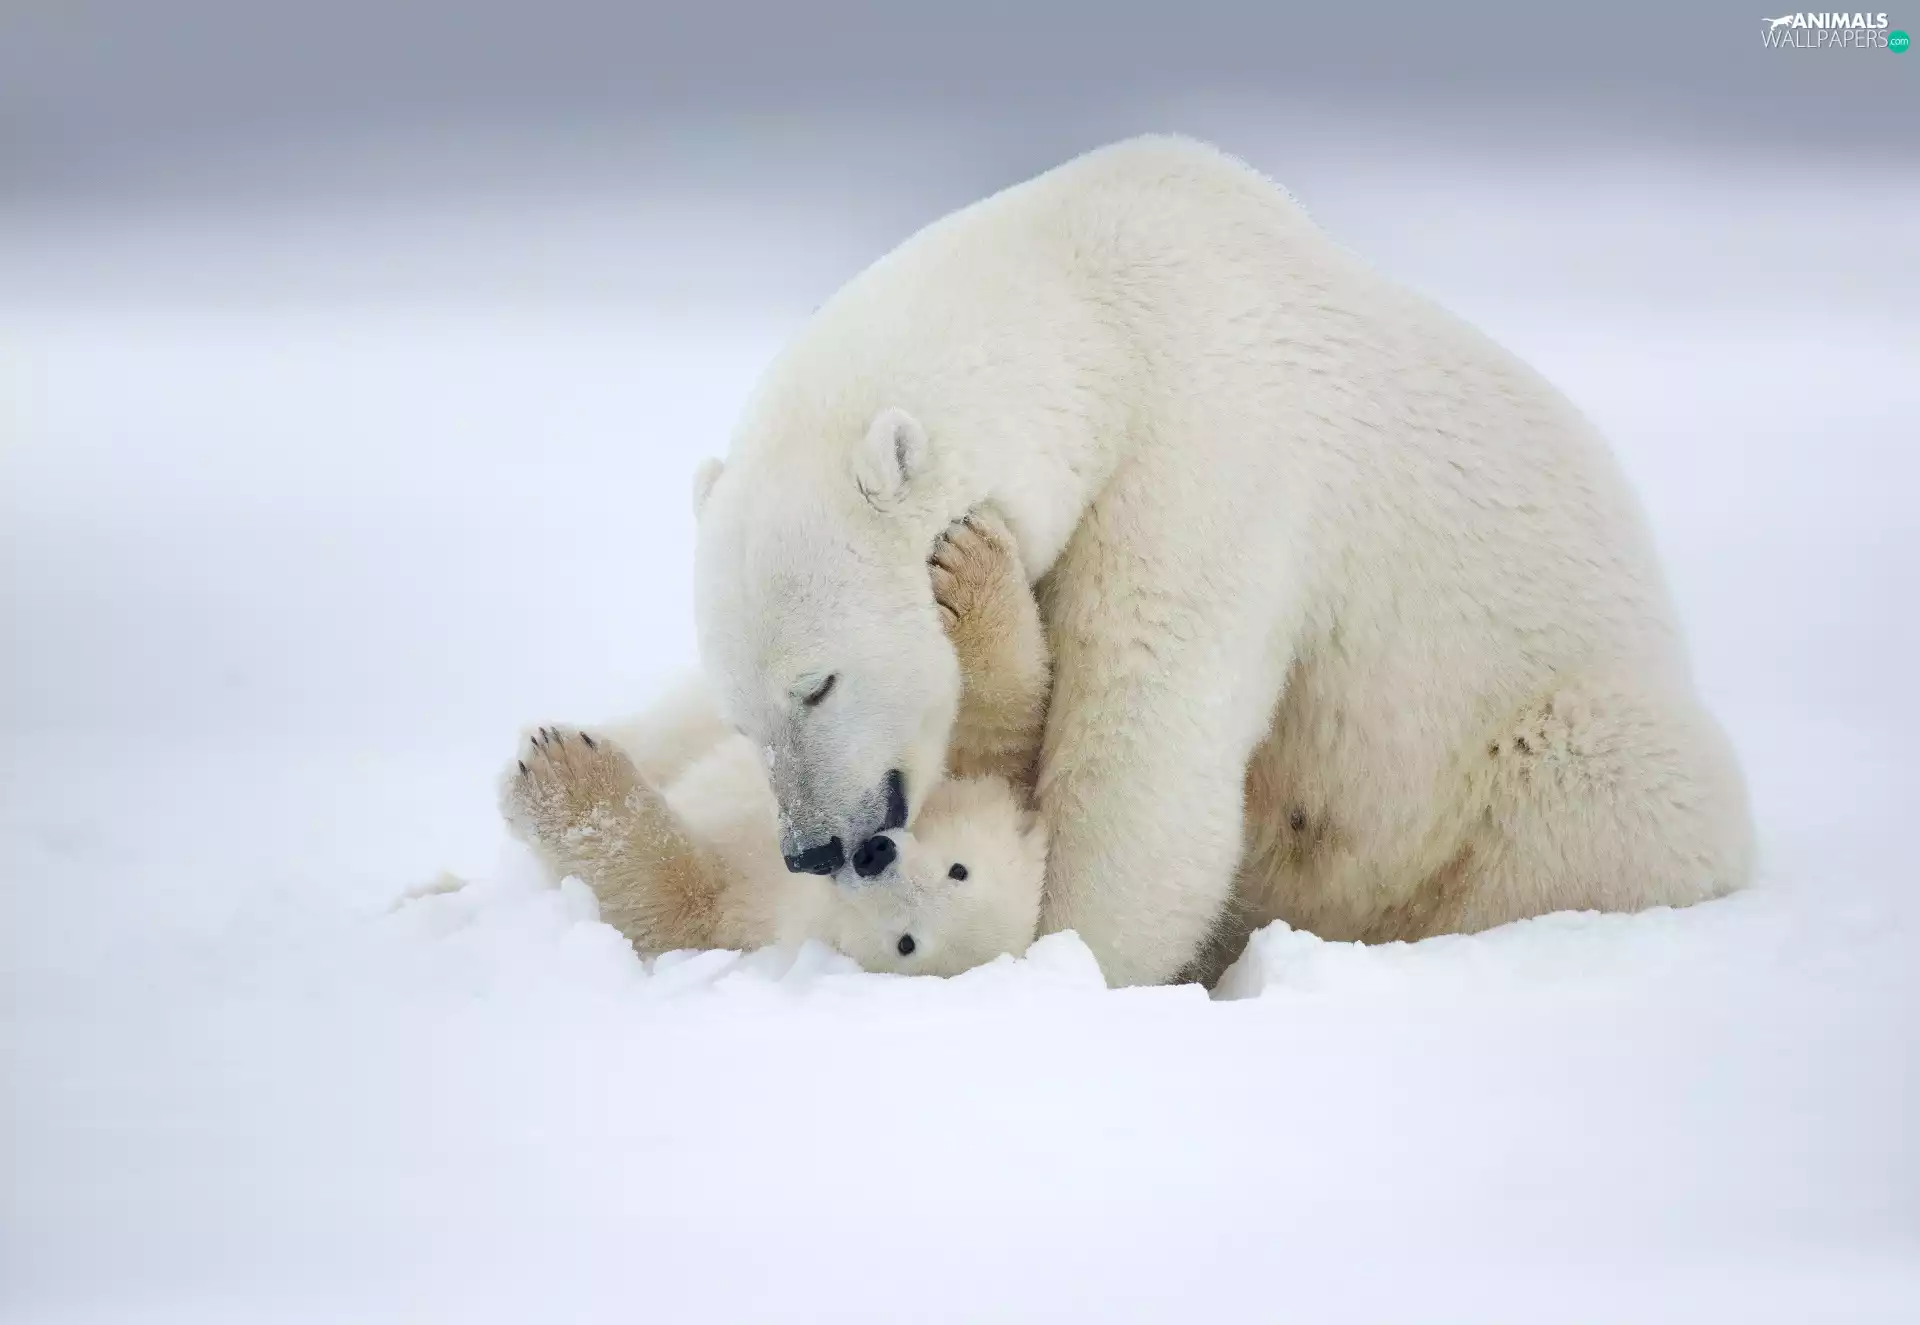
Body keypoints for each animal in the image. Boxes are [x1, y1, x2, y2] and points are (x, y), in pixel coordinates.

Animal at [501, 511, 1053, 977]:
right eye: (960, 870)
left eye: (908, 942)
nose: (873, 855)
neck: (804, 890)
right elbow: (996, 723)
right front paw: (966, 560)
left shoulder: (746, 916)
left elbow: (673, 904)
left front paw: (562, 775)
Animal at [684, 133, 1755, 988]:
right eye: (743, 714)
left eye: (817, 683)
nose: (815, 847)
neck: (1097, 307)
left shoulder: (1206, 454)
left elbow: (1146, 739)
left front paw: (1066, 956)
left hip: (1549, 736)